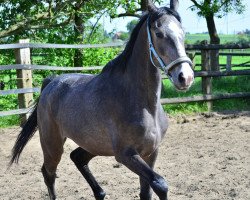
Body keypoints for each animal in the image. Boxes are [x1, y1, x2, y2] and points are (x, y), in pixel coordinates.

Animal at [9, 0, 193, 199]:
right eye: (159, 34)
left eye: (183, 33)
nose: (185, 77)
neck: (143, 105)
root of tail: (51, 82)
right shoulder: (126, 154)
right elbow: (160, 183)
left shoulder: (150, 153)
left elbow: (147, 191)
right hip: (53, 144)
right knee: (48, 173)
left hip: (93, 145)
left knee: (77, 158)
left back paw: (100, 192)